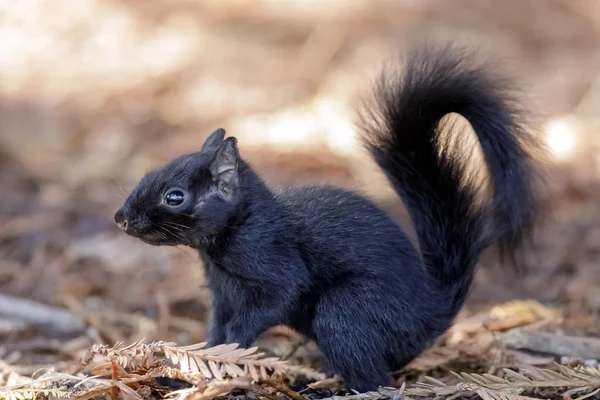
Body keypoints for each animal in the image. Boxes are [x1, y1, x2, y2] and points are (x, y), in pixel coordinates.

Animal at [115, 43, 548, 390]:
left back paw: (325, 389)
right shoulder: (222, 295)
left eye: (175, 196)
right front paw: (192, 370)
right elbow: (214, 331)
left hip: (345, 311)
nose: (121, 218)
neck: (233, 233)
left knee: (374, 379)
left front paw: (233, 351)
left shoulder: (274, 262)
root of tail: (430, 314)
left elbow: (273, 301)